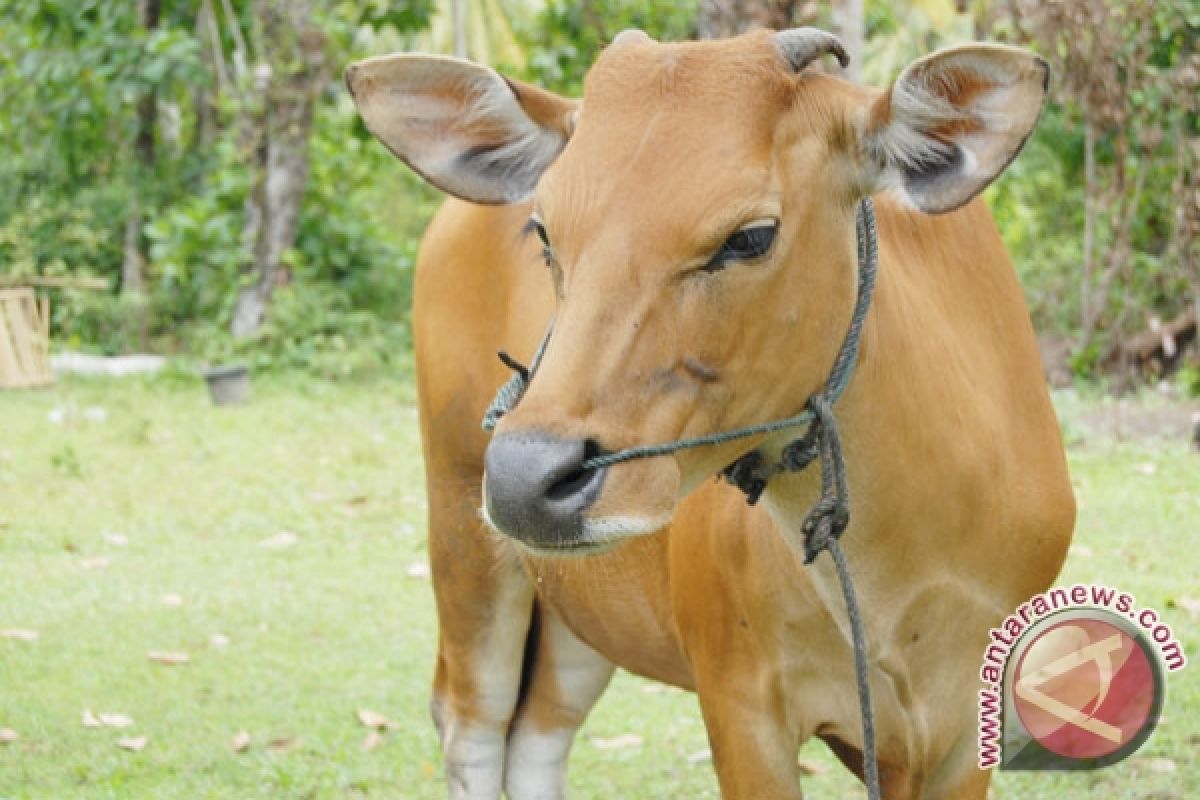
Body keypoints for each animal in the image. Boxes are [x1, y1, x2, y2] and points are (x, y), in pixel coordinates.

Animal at [350, 26, 1080, 800]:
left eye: (751, 236)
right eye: (543, 231)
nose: (526, 478)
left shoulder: (967, 726)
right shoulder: (740, 701)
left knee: (539, 732)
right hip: (464, 539)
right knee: (473, 727)